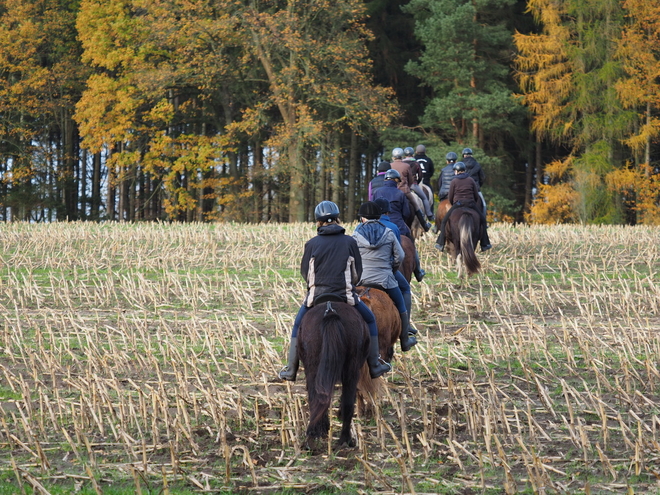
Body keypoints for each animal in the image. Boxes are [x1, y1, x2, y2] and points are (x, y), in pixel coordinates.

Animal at [298, 296, 372, 452]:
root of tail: (330, 311)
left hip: (313, 369)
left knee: (317, 399)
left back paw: (313, 437)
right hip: (351, 370)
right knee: (346, 402)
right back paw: (344, 439)